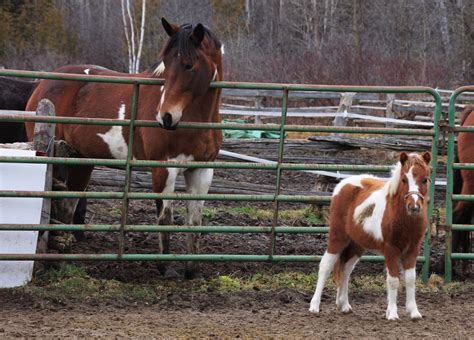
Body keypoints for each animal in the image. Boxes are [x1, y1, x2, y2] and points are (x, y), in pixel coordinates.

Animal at [25, 18, 225, 278]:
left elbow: (194, 222)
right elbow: (165, 218)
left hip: (81, 159)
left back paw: (62, 259)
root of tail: (42, 85)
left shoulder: (202, 170)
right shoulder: (163, 168)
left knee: (69, 204)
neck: (196, 119)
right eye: (166, 63)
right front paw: (166, 268)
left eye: (189, 65)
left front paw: (192, 271)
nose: (165, 117)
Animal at [310, 153, 432, 320]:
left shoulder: (412, 250)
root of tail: (343, 184)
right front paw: (392, 313)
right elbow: (393, 280)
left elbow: (410, 279)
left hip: (357, 245)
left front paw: (414, 312)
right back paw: (314, 306)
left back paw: (344, 305)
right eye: (404, 180)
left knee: (346, 270)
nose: (413, 206)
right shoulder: (391, 249)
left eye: (425, 179)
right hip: (338, 238)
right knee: (326, 266)